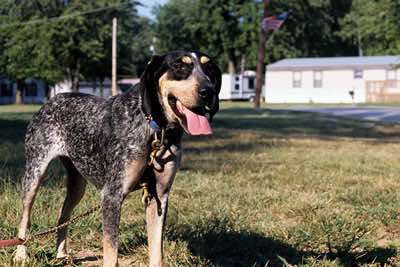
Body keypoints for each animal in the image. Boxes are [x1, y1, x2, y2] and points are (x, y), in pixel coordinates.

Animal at [14, 50, 222, 267]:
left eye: (209, 69)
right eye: (180, 66)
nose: (208, 92)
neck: (155, 129)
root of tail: (52, 99)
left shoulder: (159, 196)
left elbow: (157, 252)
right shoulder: (112, 196)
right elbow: (111, 253)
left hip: (78, 185)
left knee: (63, 217)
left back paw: (61, 255)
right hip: (34, 174)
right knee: (25, 217)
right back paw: (21, 255)